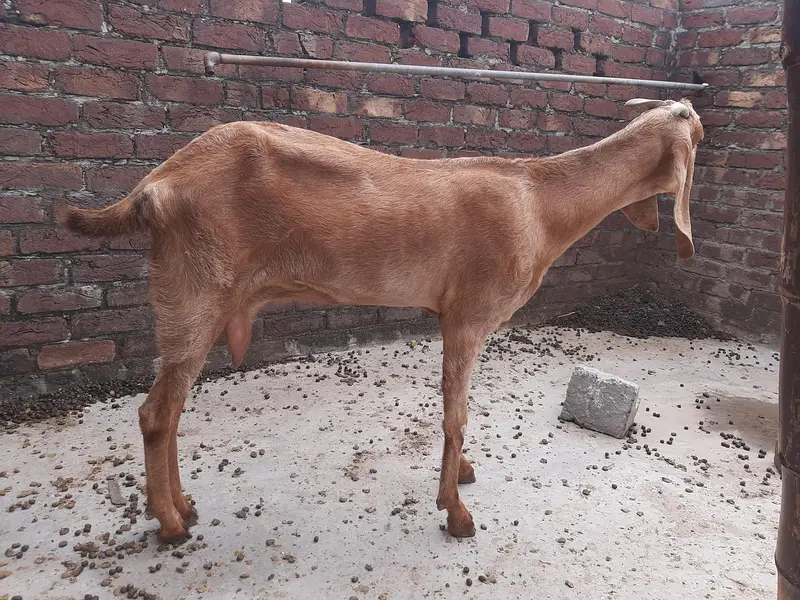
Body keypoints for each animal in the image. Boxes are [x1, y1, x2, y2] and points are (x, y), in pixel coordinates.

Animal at [62, 97, 703, 542]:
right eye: (697, 131)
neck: (540, 203)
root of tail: (153, 187)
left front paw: (462, 475)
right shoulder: (466, 316)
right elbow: (455, 415)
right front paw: (456, 512)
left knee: (169, 412)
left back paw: (183, 506)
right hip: (194, 295)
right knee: (155, 414)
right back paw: (171, 523)